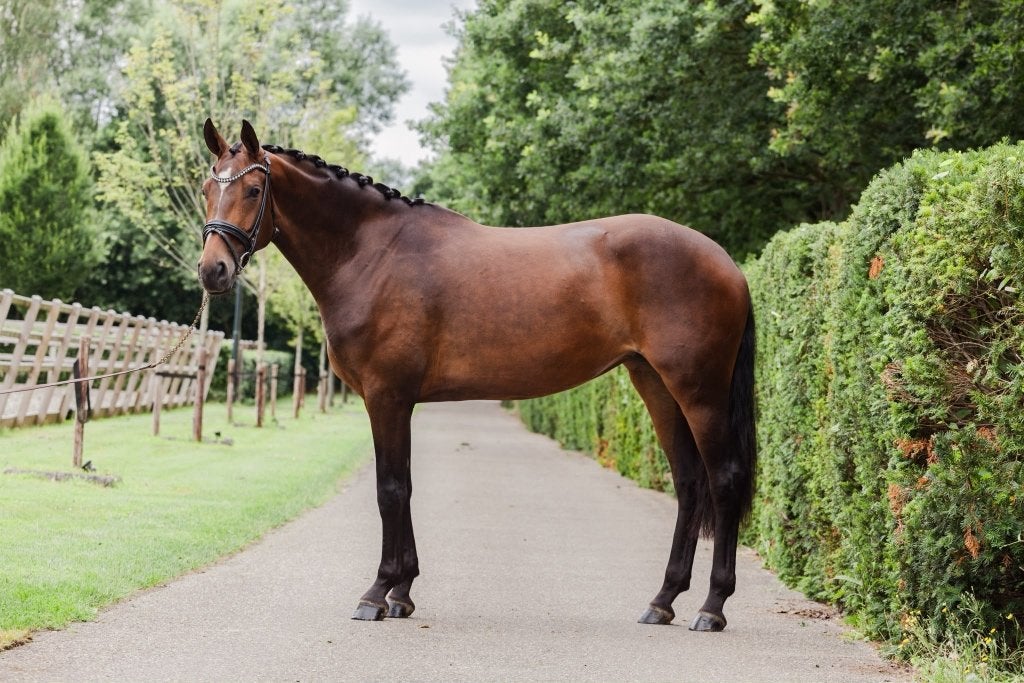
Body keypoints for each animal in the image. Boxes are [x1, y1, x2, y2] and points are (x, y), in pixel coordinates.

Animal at [197, 119, 756, 632]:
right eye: (206, 188)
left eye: (253, 190)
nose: (212, 271)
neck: (372, 253)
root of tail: (725, 260)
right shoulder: (398, 401)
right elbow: (405, 486)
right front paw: (402, 593)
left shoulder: (386, 396)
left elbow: (389, 488)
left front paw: (377, 592)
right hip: (655, 384)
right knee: (688, 483)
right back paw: (663, 601)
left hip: (699, 391)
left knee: (724, 479)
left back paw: (711, 607)